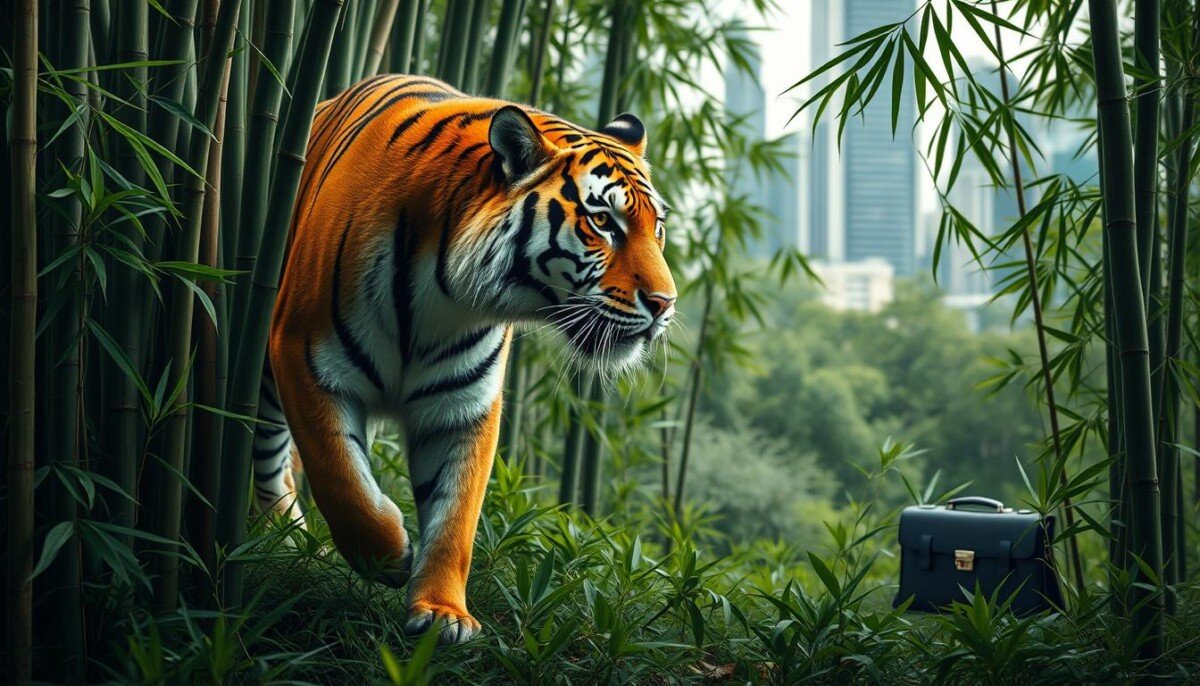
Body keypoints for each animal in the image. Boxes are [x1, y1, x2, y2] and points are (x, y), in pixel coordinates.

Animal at [251, 74, 676, 644]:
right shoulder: (305, 356)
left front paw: (441, 613)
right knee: (271, 455)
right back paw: (283, 538)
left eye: (658, 228)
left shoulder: (463, 405)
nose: (665, 303)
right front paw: (390, 554)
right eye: (604, 222)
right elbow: (341, 477)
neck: (445, 295)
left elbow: (456, 513)